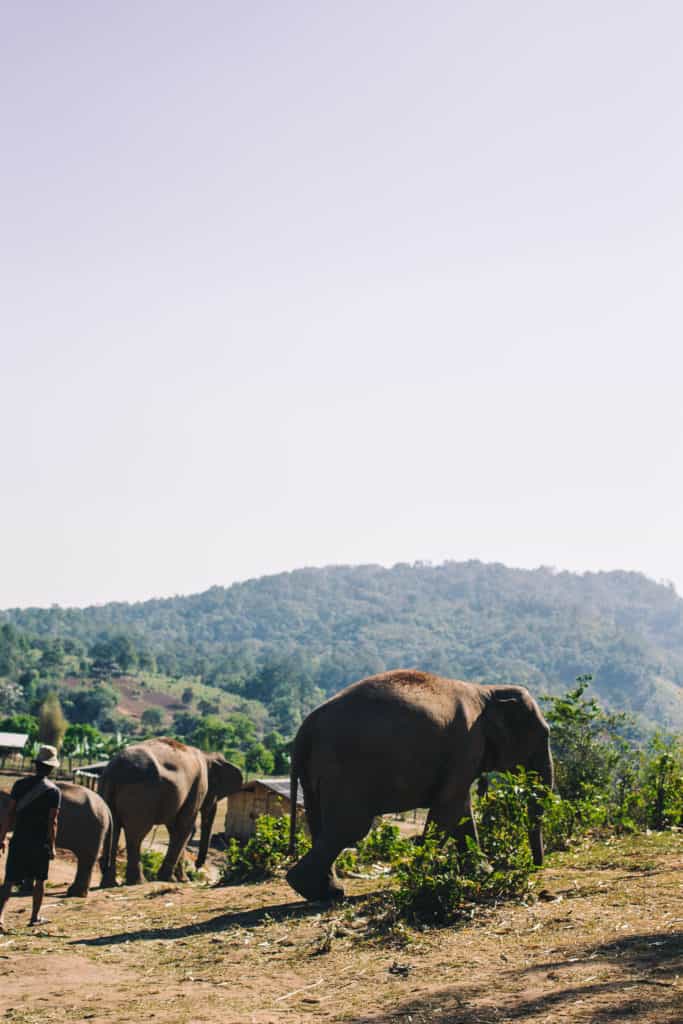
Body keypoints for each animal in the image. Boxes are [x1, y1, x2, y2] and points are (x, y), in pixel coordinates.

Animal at [98, 741, 242, 884]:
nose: (198, 866)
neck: (207, 755)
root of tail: (113, 771)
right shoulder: (198, 785)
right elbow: (185, 827)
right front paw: (173, 879)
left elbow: (175, 828)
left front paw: (179, 879)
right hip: (141, 795)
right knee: (136, 835)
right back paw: (139, 882)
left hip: (106, 792)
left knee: (114, 831)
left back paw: (109, 883)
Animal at [286, 675, 552, 901]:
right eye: (545, 734)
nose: (536, 865)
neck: (487, 690)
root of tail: (305, 728)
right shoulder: (467, 743)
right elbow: (448, 807)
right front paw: (421, 872)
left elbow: (462, 811)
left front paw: (481, 871)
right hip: (343, 771)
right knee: (350, 827)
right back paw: (316, 889)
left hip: (314, 775)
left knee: (321, 825)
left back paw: (325, 891)